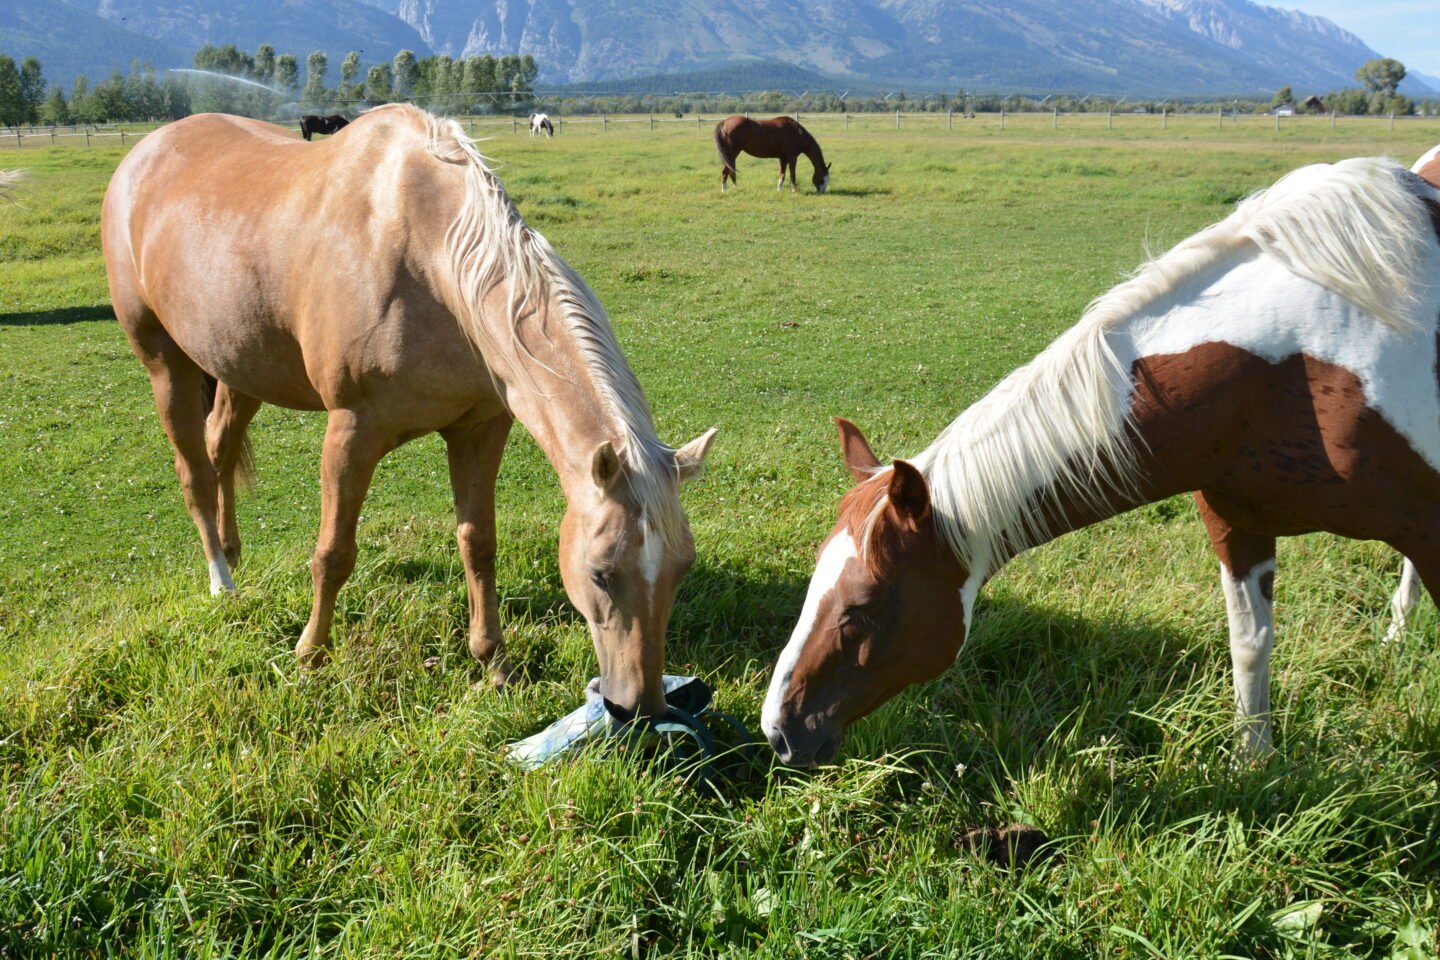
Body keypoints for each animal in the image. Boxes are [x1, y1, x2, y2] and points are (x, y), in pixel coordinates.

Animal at [98, 105, 717, 719]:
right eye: (599, 574)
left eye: (683, 567)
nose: (641, 708)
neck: (428, 255)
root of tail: (143, 152)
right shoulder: (351, 431)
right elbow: (333, 553)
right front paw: (310, 656)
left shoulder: (479, 428)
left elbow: (478, 543)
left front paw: (493, 664)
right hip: (164, 362)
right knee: (195, 473)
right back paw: (221, 583)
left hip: (238, 364)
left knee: (221, 449)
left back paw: (232, 553)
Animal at [760, 159, 1434, 771]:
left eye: (864, 607)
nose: (779, 730)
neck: (1298, 364)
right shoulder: (1237, 525)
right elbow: (1250, 647)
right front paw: (1253, 767)